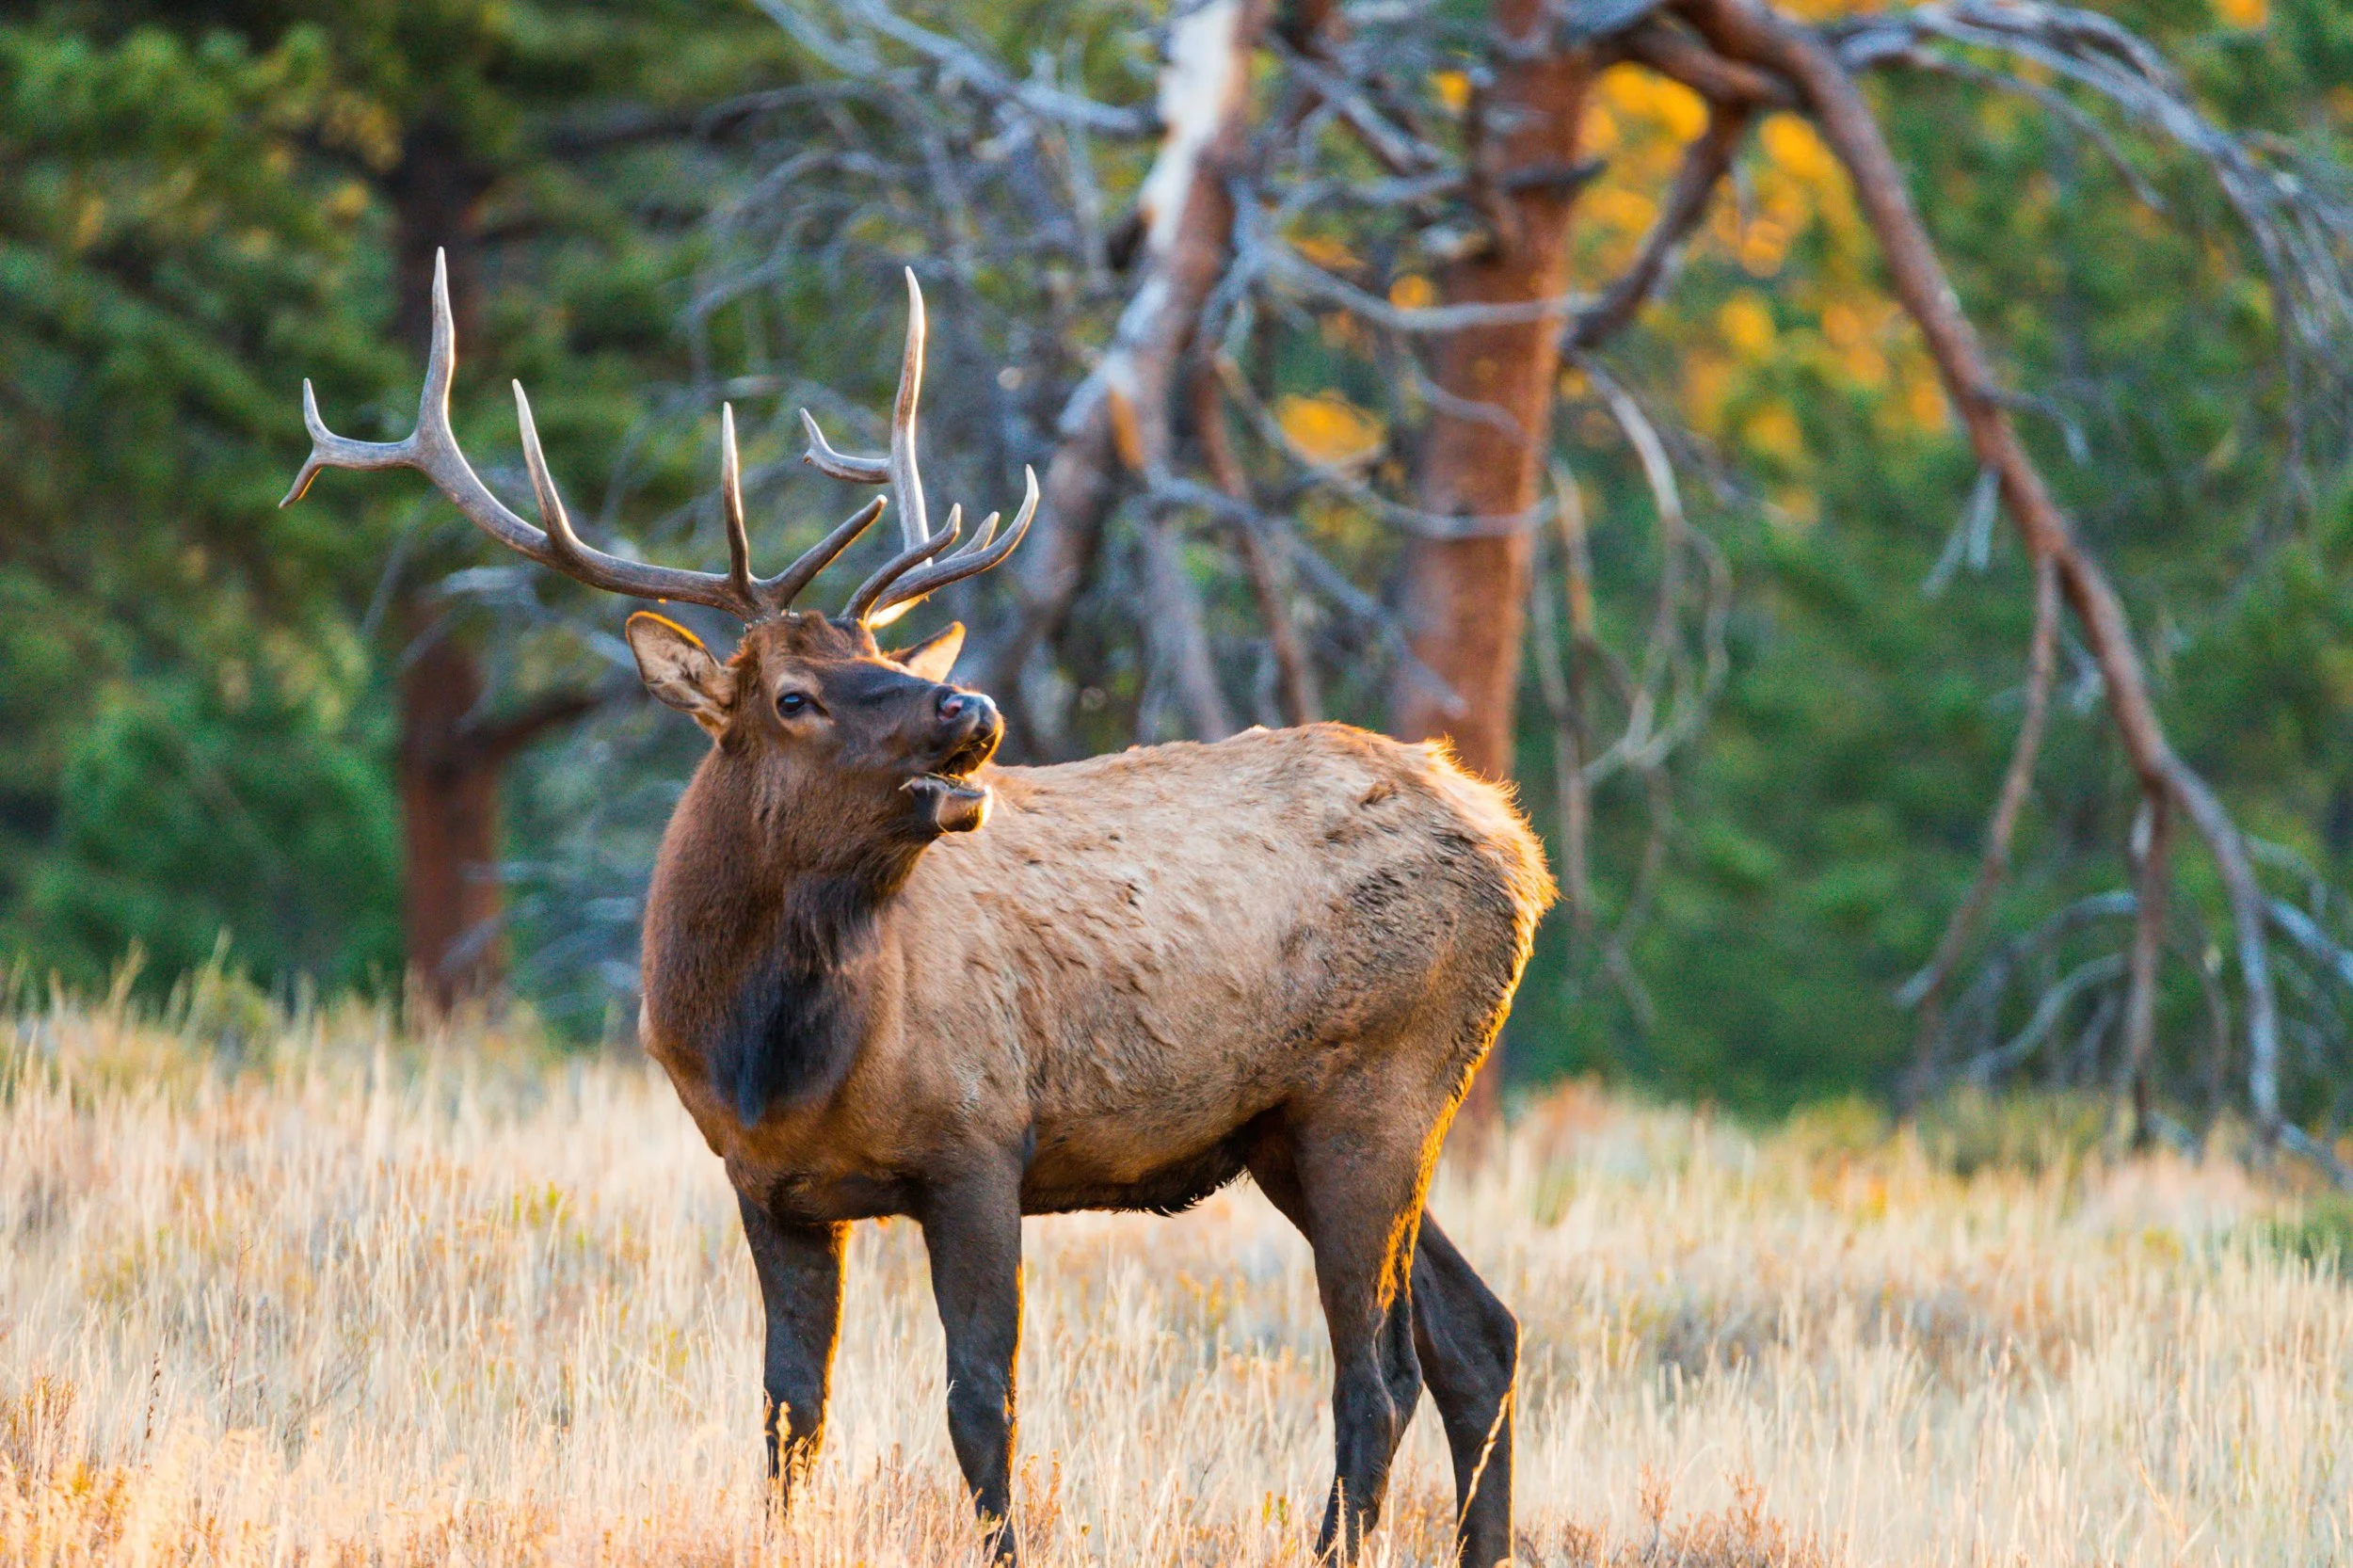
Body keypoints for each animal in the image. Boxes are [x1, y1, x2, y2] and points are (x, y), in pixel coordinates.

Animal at [284, 253, 1554, 1568]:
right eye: (794, 694)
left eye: (883, 656)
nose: (970, 704)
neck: (772, 1051)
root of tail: (1516, 845)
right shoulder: (764, 1183)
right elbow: (791, 1409)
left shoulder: (980, 1142)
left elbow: (979, 1400)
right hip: (1296, 1129)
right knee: (1480, 1337)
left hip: (1379, 1087)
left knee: (1379, 1375)